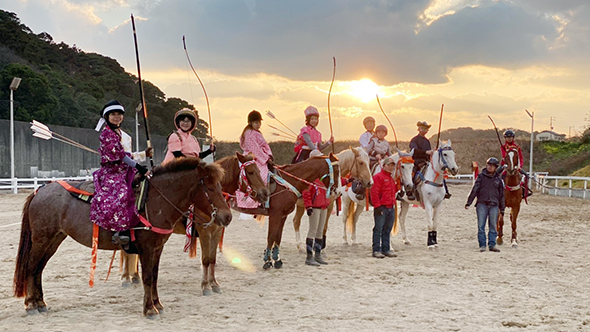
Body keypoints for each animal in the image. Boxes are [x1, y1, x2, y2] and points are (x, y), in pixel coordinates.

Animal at [12, 158, 231, 316]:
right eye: (210, 188)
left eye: (221, 187)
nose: (227, 216)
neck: (154, 201)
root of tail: (40, 190)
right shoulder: (146, 248)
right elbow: (148, 277)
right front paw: (149, 309)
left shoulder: (157, 247)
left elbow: (155, 276)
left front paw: (158, 304)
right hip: (42, 240)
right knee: (31, 267)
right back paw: (30, 305)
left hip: (54, 239)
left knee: (38, 269)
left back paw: (40, 303)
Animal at [121, 152, 270, 294]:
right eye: (250, 172)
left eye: (258, 170)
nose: (265, 193)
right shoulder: (204, 232)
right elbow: (206, 260)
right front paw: (205, 286)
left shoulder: (217, 232)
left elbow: (212, 259)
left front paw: (214, 284)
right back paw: (126, 278)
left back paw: (135, 276)